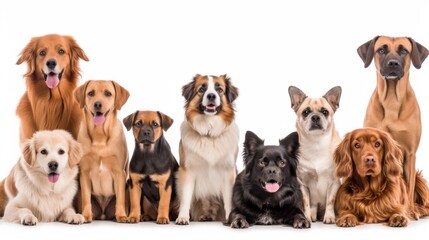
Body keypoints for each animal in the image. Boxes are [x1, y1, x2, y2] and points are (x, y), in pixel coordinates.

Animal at [73, 79, 129, 222]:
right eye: (91, 93)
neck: (100, 136)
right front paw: (86, 215)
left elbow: (120, 199)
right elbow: (86, 199)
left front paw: (121, 215)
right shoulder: (84, 173)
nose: (97, 104)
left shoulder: (119, 173)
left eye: (108, 93)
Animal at [176, 73, 239, 225]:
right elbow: (186, 197)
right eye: (202, 89)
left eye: (219, 89)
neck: (209, 135)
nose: (211, 96)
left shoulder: (228, 171)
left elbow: (229, 199)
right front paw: (182, 217)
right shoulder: (187, 170)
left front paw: (231, 218)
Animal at [356, 36, 428, 219]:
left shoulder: (410, 154)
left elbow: (408, 188)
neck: (391, 101)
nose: (393, 64)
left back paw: (418, 209)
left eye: (404, 51)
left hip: (419, 178)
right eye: (381, 50)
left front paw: (409, 211)